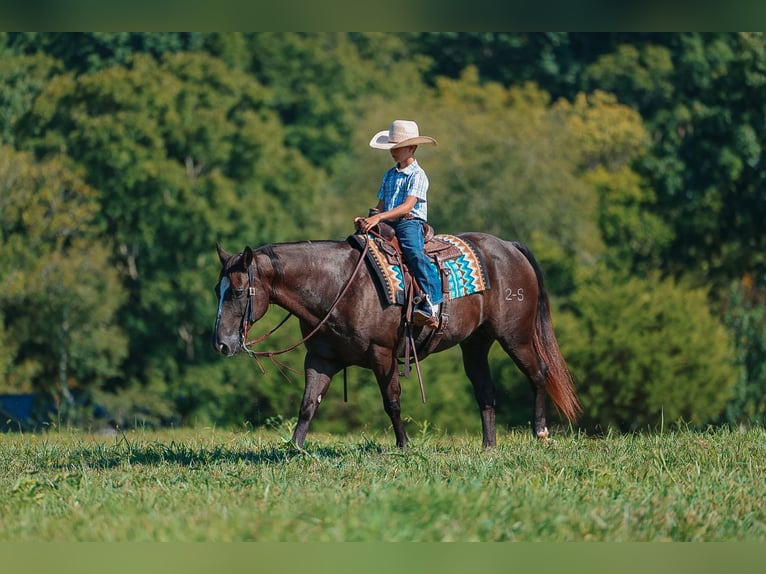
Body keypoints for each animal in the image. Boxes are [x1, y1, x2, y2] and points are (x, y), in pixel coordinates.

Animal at [213, 231, 581, 448]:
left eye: (236, 291)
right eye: (217, 289)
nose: (222, 344)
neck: (338, 284)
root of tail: (509, 247)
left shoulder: (383, 354)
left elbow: (391, 401)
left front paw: (404, 446)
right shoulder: (321, 358)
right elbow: (308, 404)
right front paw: (295, 448)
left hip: (515, 337)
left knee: (539, 373)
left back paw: (541, 432)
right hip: (475, 344)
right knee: (485, 390)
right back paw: (488, 447)